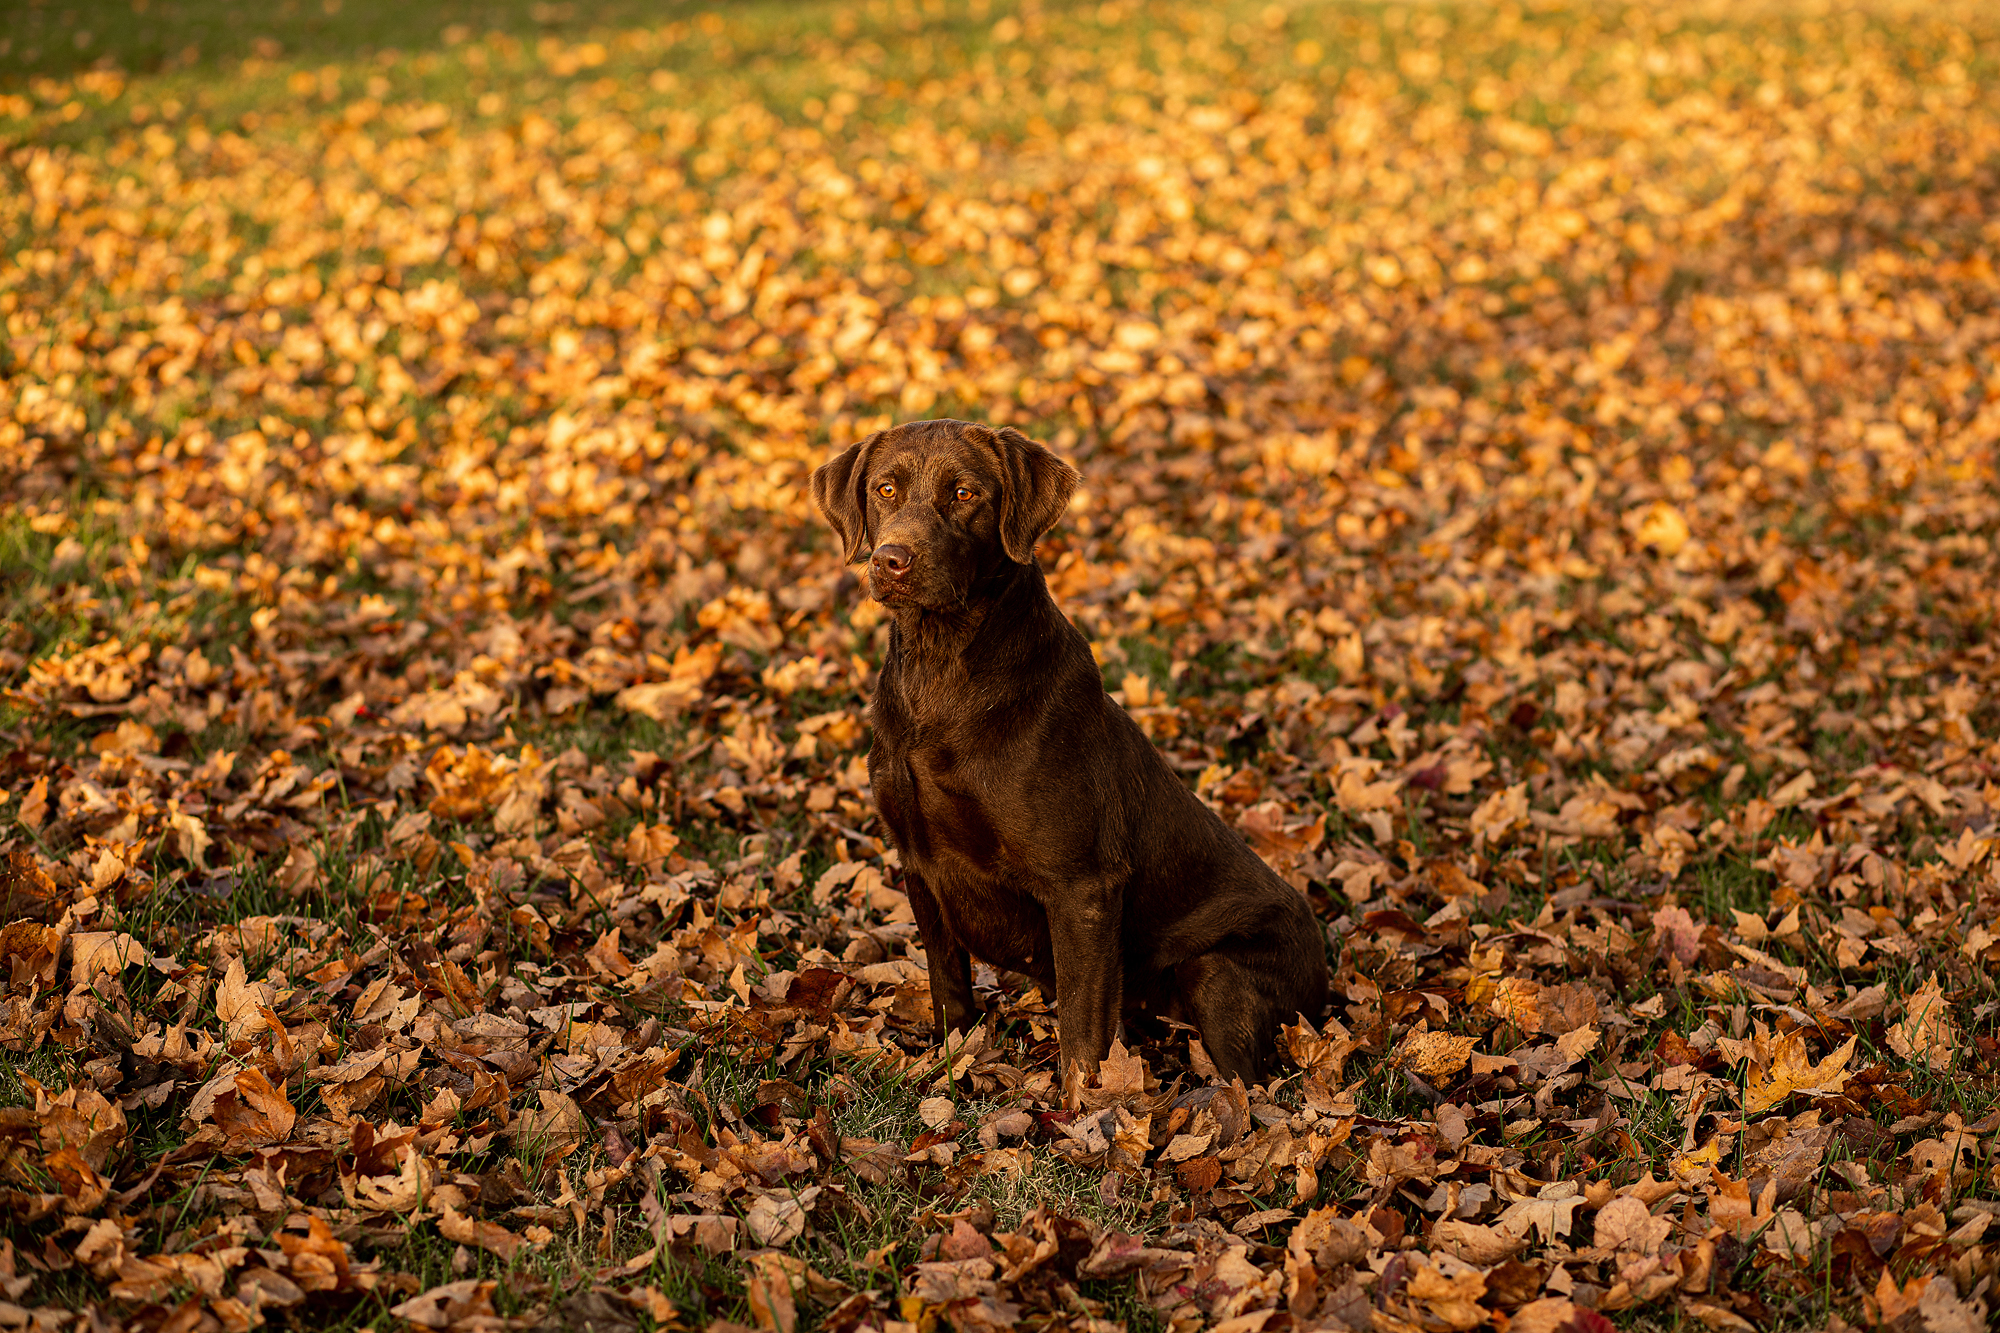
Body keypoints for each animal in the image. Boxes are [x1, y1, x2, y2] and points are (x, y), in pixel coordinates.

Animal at [812, 420, 1328, 1088]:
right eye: (885, 489)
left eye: (964, 494)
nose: (891, 561)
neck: (942, 671)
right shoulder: (919, 863)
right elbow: (949, 988)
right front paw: (953, 1063)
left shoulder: (1082, 888)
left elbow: (1082, 1035)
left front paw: (1083, 1107)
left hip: (1220, 974)